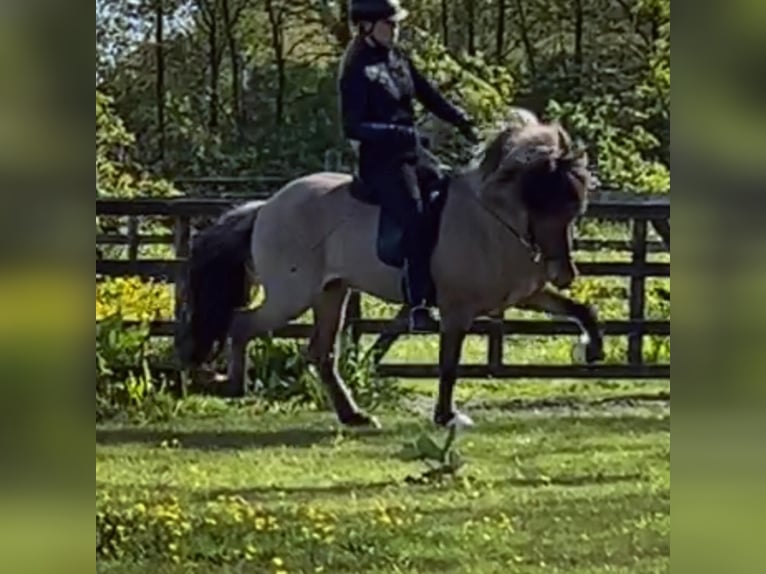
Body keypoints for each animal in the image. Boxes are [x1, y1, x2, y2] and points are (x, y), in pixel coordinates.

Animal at [178, 110, 608, 430]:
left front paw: (592, 351)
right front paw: (446, 416)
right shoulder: (456, 309)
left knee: (321, 352)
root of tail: (267, 206)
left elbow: (581, 311)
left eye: (575, 208)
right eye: (545, 201)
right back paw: (232, 385)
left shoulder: (523, 296)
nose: (564, 273)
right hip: (291, 296)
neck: (490, 220)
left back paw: (353, 416)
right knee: (241, 324)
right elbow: (448, 364)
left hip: (332, 293)